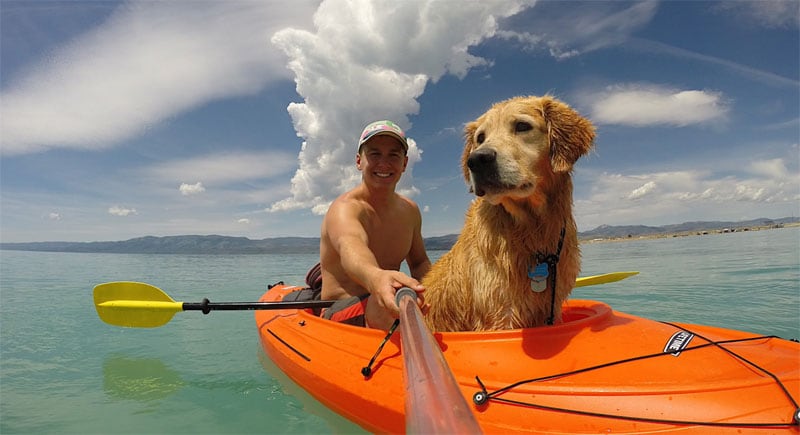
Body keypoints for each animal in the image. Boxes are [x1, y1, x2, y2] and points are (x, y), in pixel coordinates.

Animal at [422, 96, 596, 334]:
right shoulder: (499, 314)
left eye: (522, 126)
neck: (531, 229)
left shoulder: (552, 306)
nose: (477, 160)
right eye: (480, 138)